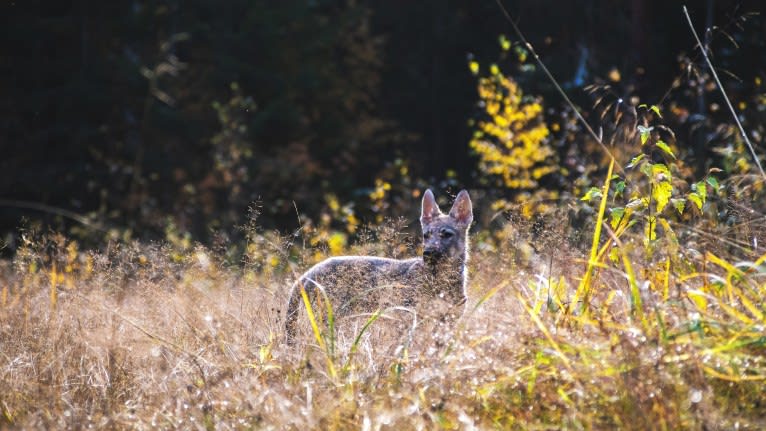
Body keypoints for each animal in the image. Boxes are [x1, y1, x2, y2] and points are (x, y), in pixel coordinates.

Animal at [284, 191, 472, 342]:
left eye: (446, 234)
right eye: (426, 235)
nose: (427, 253)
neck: (441, 283)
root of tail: (308, 273)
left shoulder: (446, 323)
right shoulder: (412, 322)